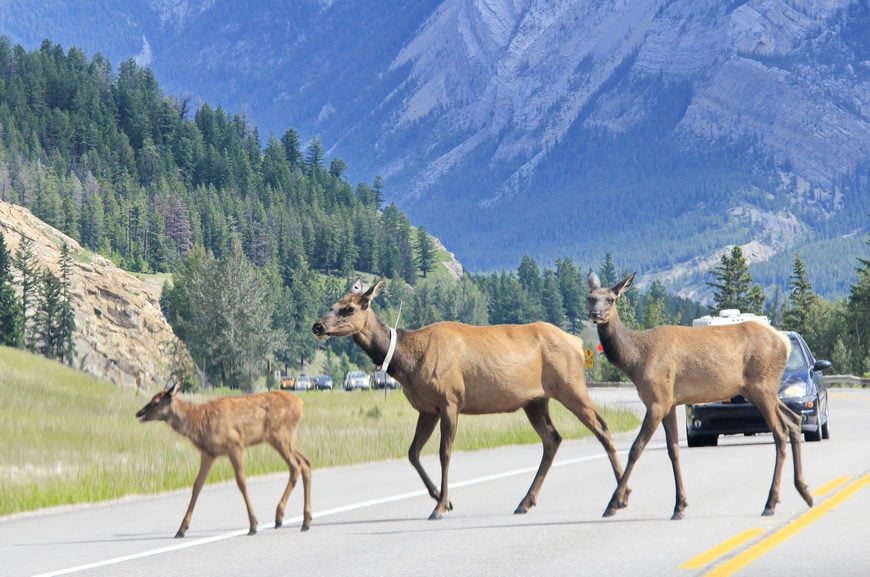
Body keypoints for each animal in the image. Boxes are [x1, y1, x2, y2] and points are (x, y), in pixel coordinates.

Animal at [136, 378, 314, 536]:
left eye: (156, 402)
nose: (139, 413)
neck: (199, 424)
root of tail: (301, 404)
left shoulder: (235, 444)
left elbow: (241, 482)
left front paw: (253, 524)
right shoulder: (208, 453)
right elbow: (197, 485)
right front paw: (181, 529)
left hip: (280, 435)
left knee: (296, 466)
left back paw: (283, 517)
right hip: (283, 439)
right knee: (306, 462)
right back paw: (304, 520)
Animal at [314, 276, 628, 520]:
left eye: (349, 308)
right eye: (332, 305)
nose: (318, 326)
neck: (407, 361)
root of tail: (578, 343)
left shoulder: (450, 399)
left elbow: (444, 453)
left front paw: (440, 506)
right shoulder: (427, 408)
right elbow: (413, 452)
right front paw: (441, 497)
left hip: (570, 386)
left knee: (601, 427)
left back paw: (619, 498)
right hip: (535, 401)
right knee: (553, 439)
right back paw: (526, 501)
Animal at [588, 272, 816, 520]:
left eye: (611, 299)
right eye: (591, 297)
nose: (595, 314)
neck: (636, 360)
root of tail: (784, 343)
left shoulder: (657, 400)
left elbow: (636, 449)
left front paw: (614, 503)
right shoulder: (669, 402)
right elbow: (673, 450)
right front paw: (680, 505)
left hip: (763, 387)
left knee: (780, 432)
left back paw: (771, 503)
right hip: (760, 392)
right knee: (794, 420)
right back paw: (804, 492)